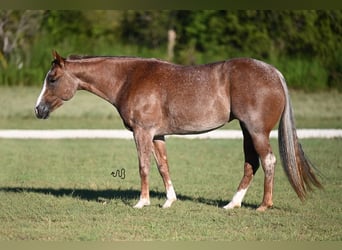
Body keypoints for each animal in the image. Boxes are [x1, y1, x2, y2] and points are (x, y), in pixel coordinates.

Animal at [33, 50, 322, 211]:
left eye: (53, 79)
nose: (38, 109)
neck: (129, 78)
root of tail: (273, 72)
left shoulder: (142, 132)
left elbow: (144, 166)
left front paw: (142, 202)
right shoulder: (157, 135)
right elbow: (163, 167)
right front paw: (169, 201)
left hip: (256, 131)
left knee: (268, 160)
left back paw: (263, 205)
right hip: (246, 130)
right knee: (251, 163)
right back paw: (232, 204)